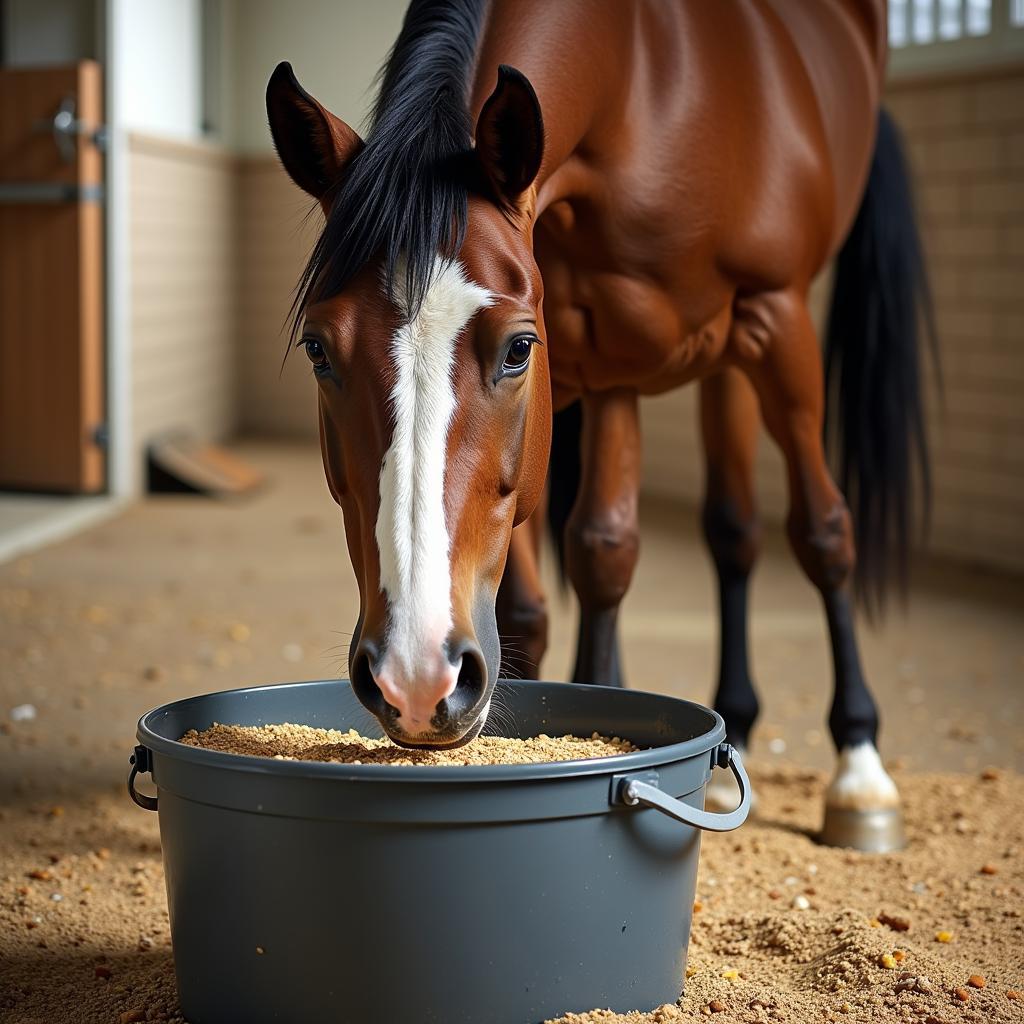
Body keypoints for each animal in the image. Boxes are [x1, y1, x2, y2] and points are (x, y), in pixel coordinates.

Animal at [266, 0, 937, 851]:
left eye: (517, 349)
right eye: (320, 349)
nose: (416, 676)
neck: (643, 82)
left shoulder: (764, 321)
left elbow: (817, 532)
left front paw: (862, 772)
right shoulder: (586, 372)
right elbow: (553, 586)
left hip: (745, 343)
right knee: (728, 530)